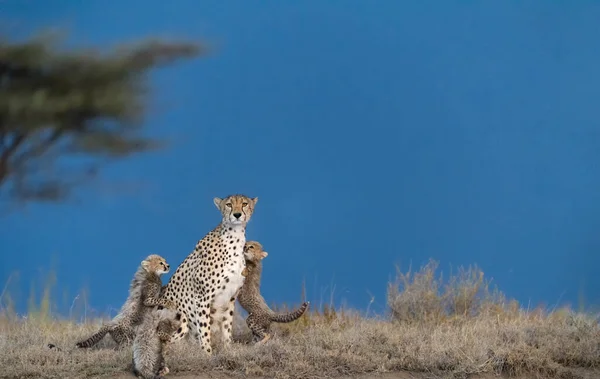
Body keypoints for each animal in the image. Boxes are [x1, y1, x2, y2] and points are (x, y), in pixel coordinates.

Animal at [162, 194, 258, 354]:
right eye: (229, 204)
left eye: (244, 204)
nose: (237, 214)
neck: (235, 237)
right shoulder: (202, 298)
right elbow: (204, 330)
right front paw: (207, 354)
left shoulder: (230, 298)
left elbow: (227, 328)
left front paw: (227, 351)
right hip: (179, 318)